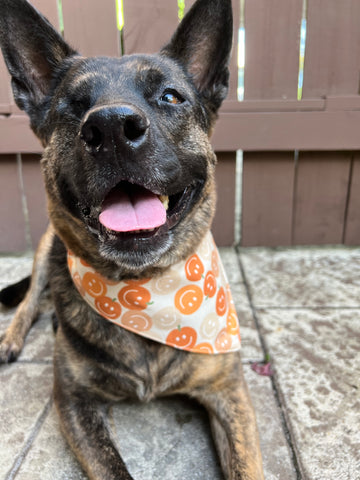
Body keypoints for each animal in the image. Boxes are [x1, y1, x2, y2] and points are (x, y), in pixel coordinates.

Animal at [0, 0, 264, 478]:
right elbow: (111, 466)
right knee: (30, 300)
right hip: (45, 247)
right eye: (73, 106)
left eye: (171, 97)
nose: (111, 128)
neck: (146, 290)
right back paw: (13, 336)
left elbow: (247, 465)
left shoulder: (229, 390)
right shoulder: (73, 400)